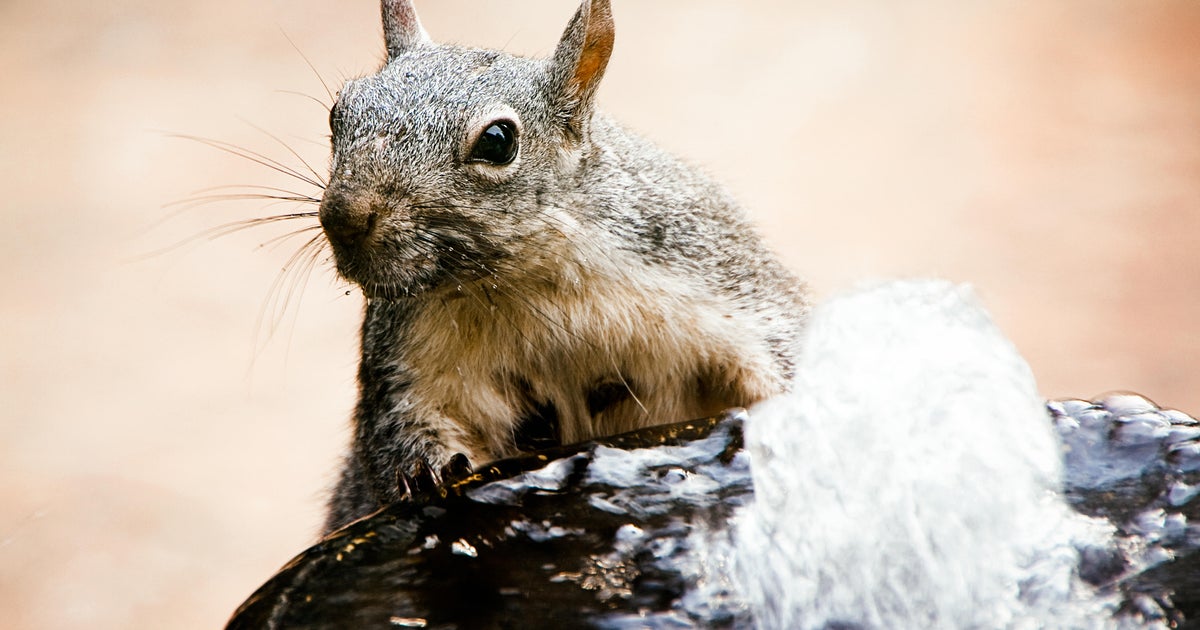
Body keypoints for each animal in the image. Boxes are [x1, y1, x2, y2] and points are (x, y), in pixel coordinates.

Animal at [319, 0, 806, 530]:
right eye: (337, 112)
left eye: (498, 140)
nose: (343, 216)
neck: (528, 278)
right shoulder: (407, 356)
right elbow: (401, 424)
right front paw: (426, 471)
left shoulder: (720, 281)